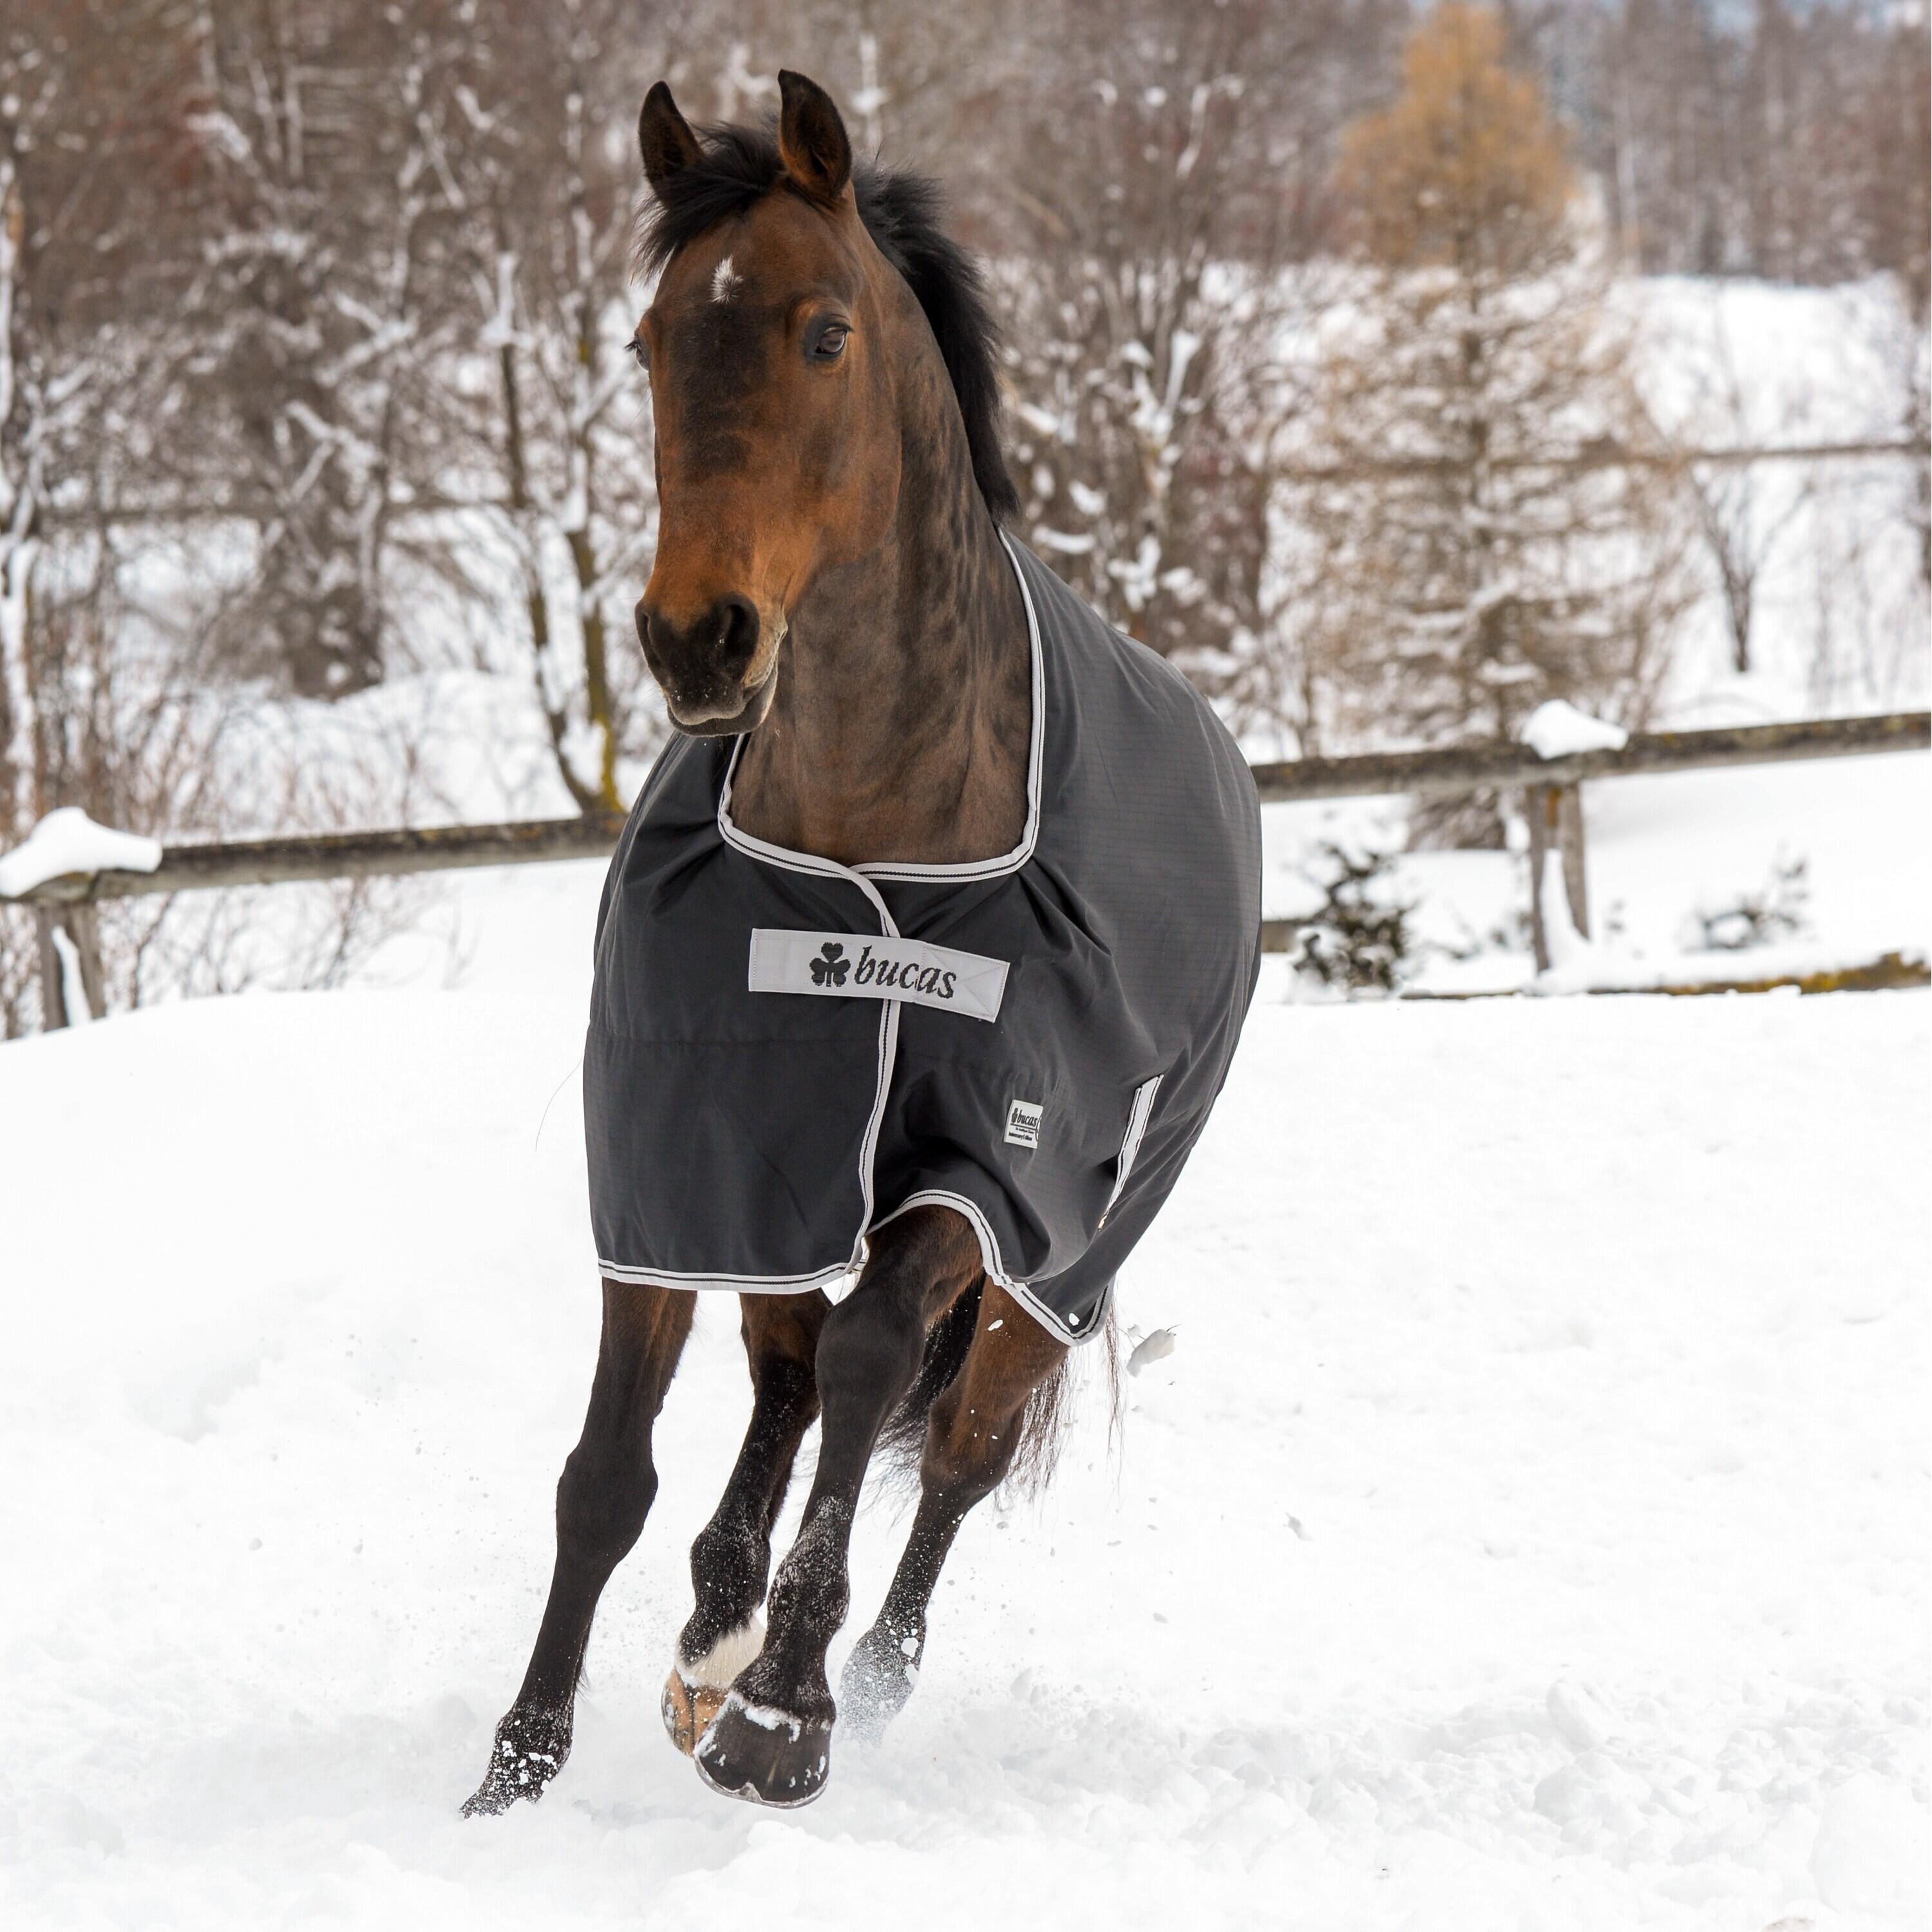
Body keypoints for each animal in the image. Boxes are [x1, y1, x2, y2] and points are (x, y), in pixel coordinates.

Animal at [465, 70, 1260, 1816]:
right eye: (647, 343)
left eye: (825, 333)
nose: (695, 639)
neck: (866, 841)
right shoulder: (690, 1150)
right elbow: (604, 1471)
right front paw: (520, 1766)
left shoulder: (988, 1167)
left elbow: (877, 1359)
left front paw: (785, 1712)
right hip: (796, 1182)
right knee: (782, 1373)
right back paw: (712, 1622)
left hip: (1063, 1263)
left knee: (940, 1444)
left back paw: (854, 1671)